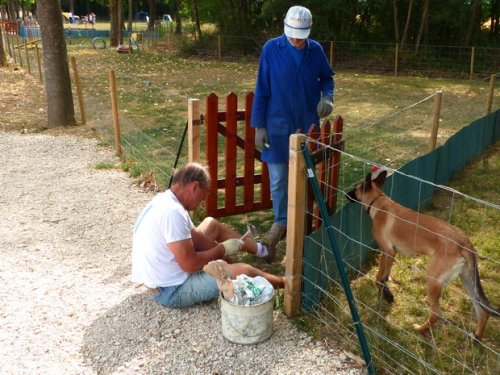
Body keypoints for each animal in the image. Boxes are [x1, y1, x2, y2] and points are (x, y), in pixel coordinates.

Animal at [346, 170, 498, 340]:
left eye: (355, 188)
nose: (345, 195)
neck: (378, 202)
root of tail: (464, 243)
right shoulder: (392, 254)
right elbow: (385, 276)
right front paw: (386, 292)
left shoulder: (386, 251)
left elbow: (378, 277)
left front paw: (385, 294)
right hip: (466, 281)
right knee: (482, 311)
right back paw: (477, 336)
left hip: (433, 280)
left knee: (436, 314)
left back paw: (420, 329)